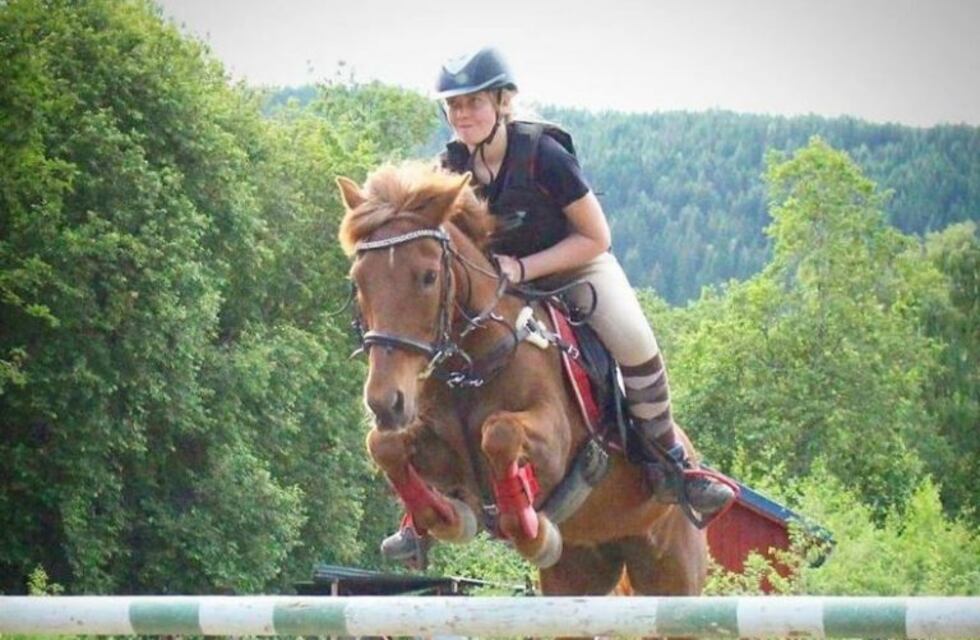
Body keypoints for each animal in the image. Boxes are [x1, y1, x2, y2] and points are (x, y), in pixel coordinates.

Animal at [336, 161, 707, 597]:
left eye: (428, 277)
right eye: (358, 281)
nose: (385, 402)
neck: (473, 367)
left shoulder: (555, 441)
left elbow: (500, 432)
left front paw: (533, 533)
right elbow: (384, 445)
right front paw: (447, 519)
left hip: (673, 570)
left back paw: (691, 482)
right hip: (579, 570)